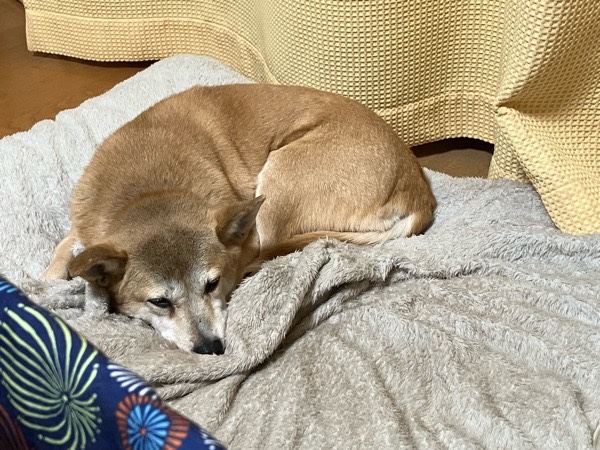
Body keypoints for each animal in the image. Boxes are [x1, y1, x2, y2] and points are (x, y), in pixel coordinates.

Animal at [43, 84, 436, 354]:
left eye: (212, 284)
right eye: (159, 302)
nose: (211, 349)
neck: (147, 191)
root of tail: (419, 190)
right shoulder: (86, 227)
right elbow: (65, 251)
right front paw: (47, 282)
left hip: (280, 177)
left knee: (273, 252)